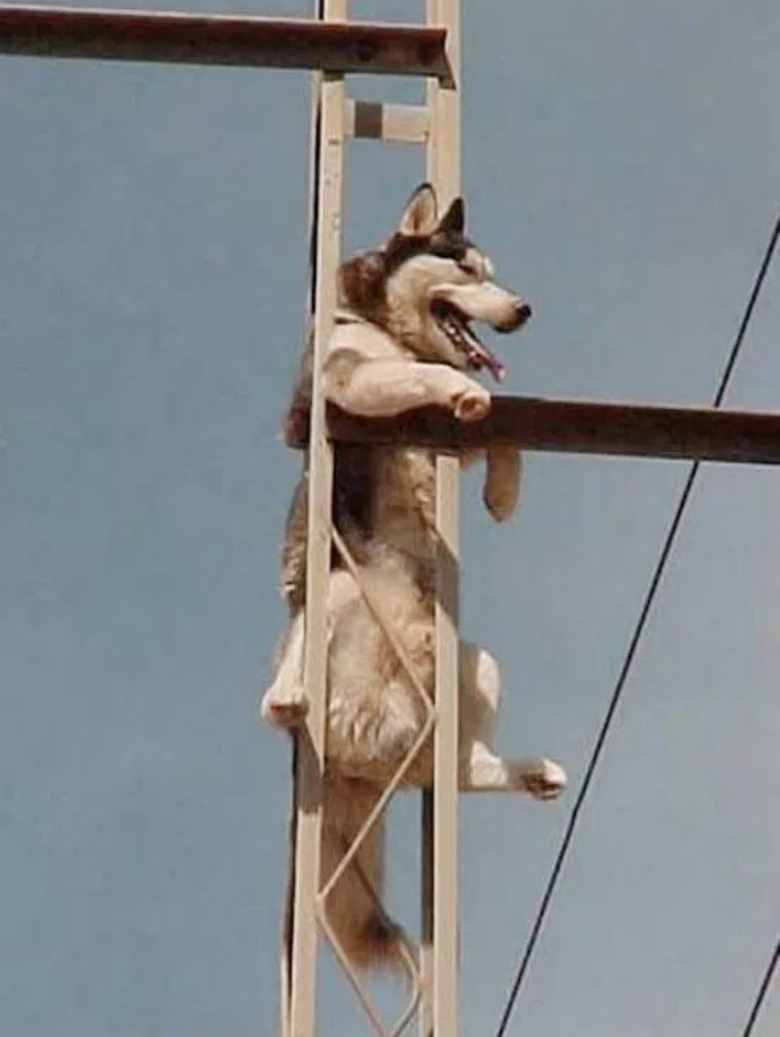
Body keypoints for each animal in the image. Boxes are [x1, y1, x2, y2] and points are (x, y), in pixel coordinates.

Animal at [263, 184, 568, 970]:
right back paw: (287, 699)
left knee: (458, 766)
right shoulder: (347, 380)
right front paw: (464, 391)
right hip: (339, 585)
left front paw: (502, 492)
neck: (385, 324)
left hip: (472, 661)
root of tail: (372, 754)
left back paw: (525, 770)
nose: (525, 308)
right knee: (288, 674)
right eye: (464, 269)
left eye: (493, 272)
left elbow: (504, 436)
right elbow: (443, 376)